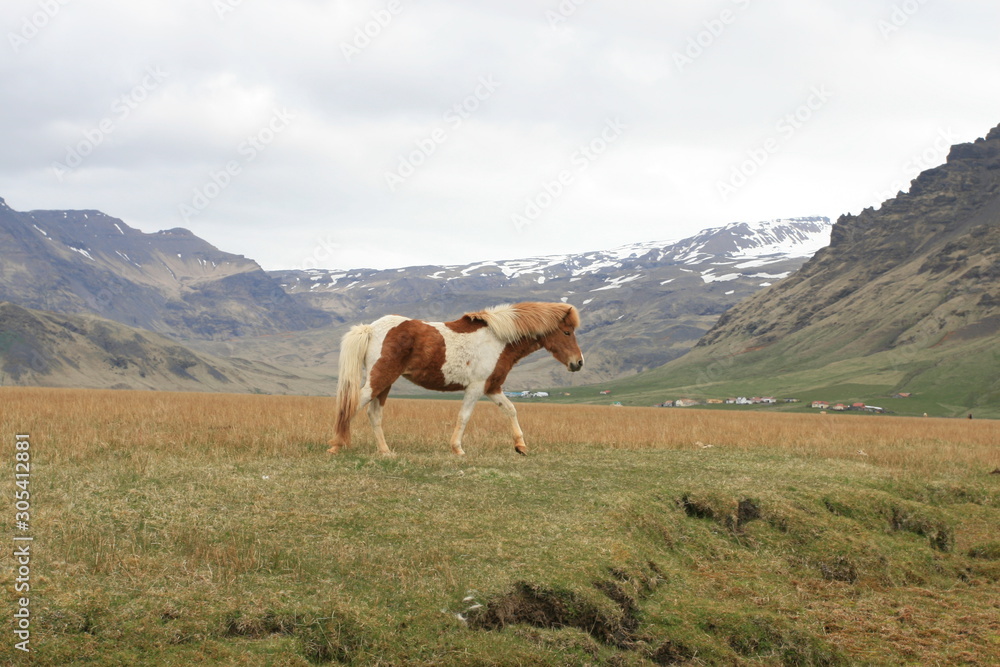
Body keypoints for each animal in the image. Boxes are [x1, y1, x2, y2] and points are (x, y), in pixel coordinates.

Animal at [328, 302, 584, 456]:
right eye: (567, 332)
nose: (578, 363)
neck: (498, 338)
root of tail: (370, 329)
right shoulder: (476, 388)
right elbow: (464, 416)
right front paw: (457, 449)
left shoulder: (492, 387)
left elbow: (510, 410)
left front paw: (520, 446)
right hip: (380, 378)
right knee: (352, 404)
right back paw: (336, 445)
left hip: (385, 382)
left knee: (374, 414)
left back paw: (385, 451)